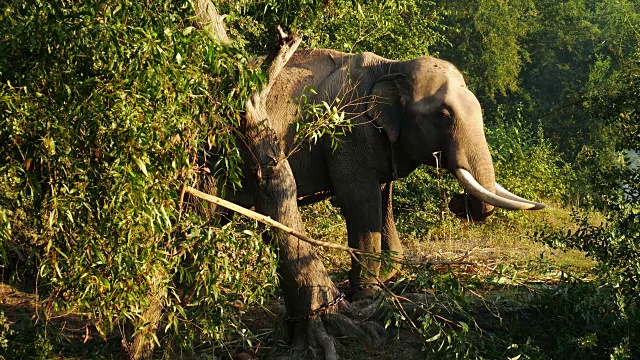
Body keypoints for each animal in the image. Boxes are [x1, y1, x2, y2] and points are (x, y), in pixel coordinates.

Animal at [221, 49, 544, 300]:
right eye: (444, 115)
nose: (457, 202)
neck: (391, 66)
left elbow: (384, 199)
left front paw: (387, 275)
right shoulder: (348, 133)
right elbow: (361, 200)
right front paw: (368, 292)